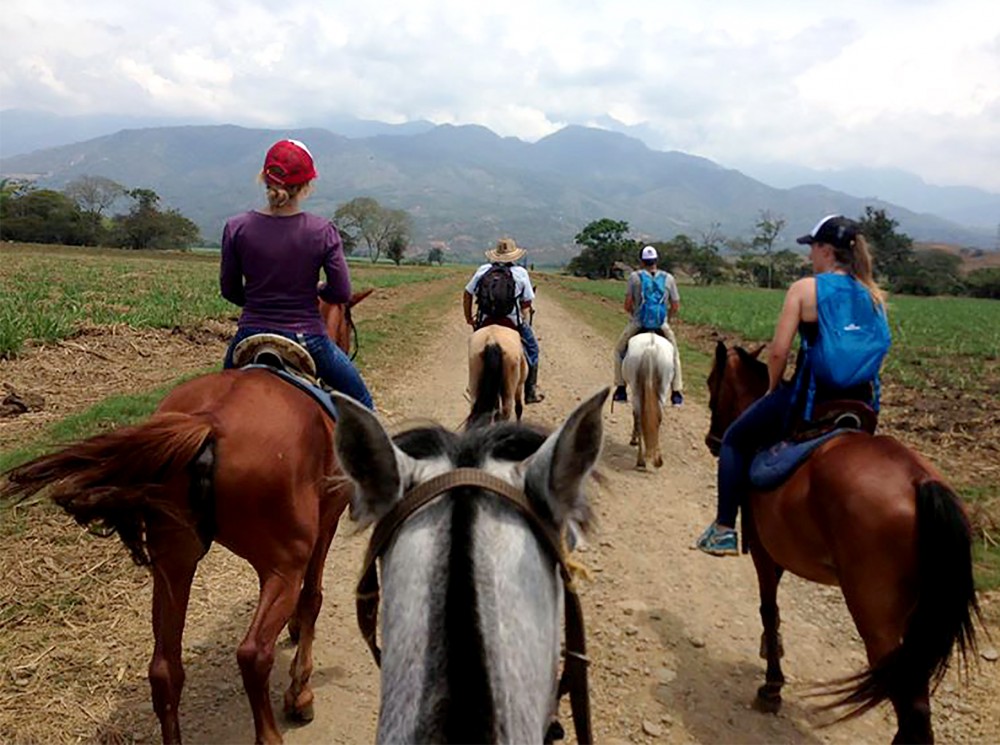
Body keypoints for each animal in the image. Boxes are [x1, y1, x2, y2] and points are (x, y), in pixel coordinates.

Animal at [0, 290, 376, 744]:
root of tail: (208, 422)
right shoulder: (328, 521)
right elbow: (313, 598)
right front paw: (300, 691)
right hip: (281, 562)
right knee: (253, 653)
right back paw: (272, 729)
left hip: (173, 560)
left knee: (164, 668)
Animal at [620, 332, 676, 468]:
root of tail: (651, 348)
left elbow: (635, 416)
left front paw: (633, 439)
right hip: (662, 389)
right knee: (657, 418)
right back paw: (655, 459)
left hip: (636, 390)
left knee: (640, 417)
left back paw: (641, 460)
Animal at [708, 340, 980, 740]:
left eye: (711, 384)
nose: (713, 442)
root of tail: (919, 482)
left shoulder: (762, 550)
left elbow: (769, 610)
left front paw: (772, 686)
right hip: (915, 619)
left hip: (876, 617)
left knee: (911, 707)